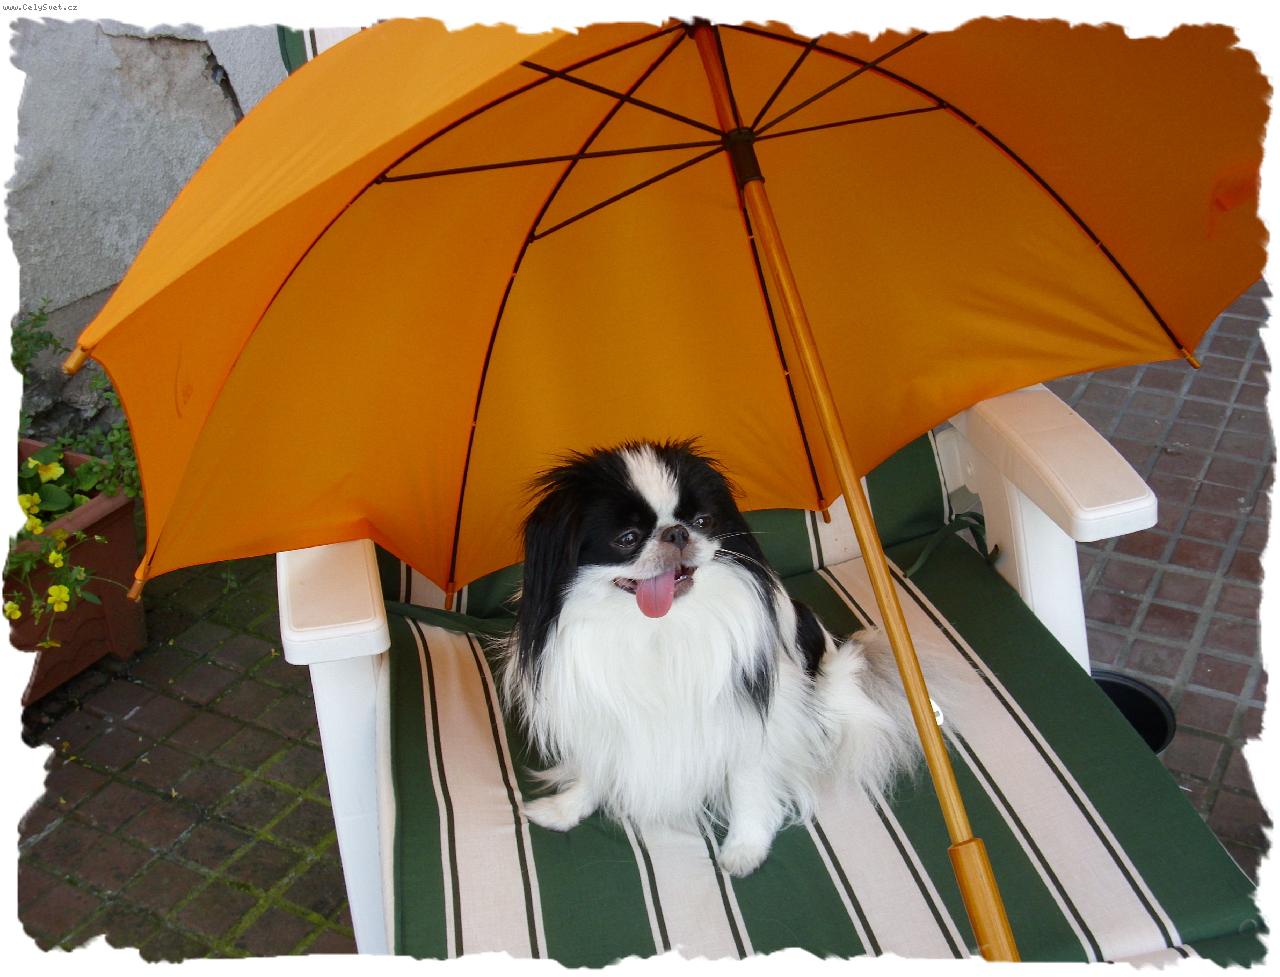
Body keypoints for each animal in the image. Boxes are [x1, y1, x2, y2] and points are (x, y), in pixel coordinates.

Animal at [499, 439, 925, 877]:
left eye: (703, 521)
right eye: (627, 538)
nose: (677, 531)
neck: (657, 630)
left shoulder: (753, 716)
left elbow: (747, 781)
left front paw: (745, 847)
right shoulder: (608, 716)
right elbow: (597, 767)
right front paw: (565, 809)